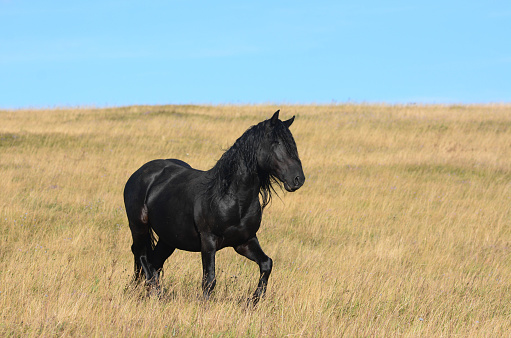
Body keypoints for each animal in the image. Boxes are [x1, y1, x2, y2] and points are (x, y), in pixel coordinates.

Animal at [125, 111, 304, 304]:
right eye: (276, 143)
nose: (298, 179)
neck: (231, 198)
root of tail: (139, 173)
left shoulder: (245, 241)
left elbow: (266, 264)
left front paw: (254, 301)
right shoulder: (208, 241)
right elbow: (209, 280)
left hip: (169, 238)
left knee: (154, 261)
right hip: (139, 226)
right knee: (142, 255)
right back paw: (155, 291)